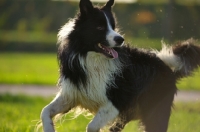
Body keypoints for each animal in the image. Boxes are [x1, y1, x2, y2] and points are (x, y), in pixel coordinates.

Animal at [40, 0, 200, 131]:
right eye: (100, 27)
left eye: (113, 26)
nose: (120, 39)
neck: (93, 59)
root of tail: (166, 65)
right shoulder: (72, 94)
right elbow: (45, 111)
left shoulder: (115, 102)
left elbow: (91, 126)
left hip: (155, 112)